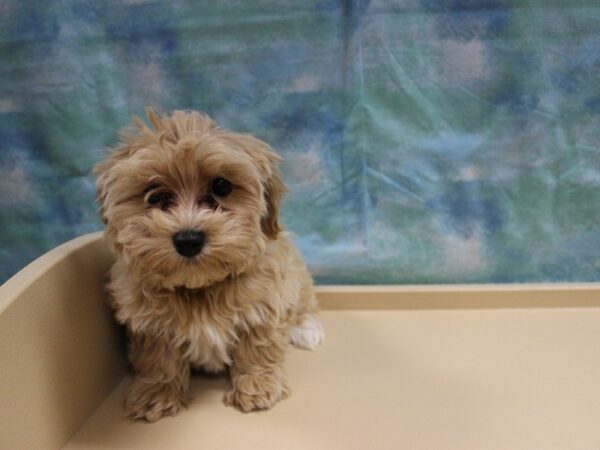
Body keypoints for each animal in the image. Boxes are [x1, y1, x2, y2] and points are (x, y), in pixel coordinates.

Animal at [95, 109, 324, 422]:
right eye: (154, 197)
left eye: (221, 186)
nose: (189, 239)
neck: (200, 287)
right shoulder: (148, 322)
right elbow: (157, 357)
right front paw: (158, 392)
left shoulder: (267, 300)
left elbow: (259, 343)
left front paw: (258, 385)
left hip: (298, 279)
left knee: (304, 304)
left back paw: (307, 329)